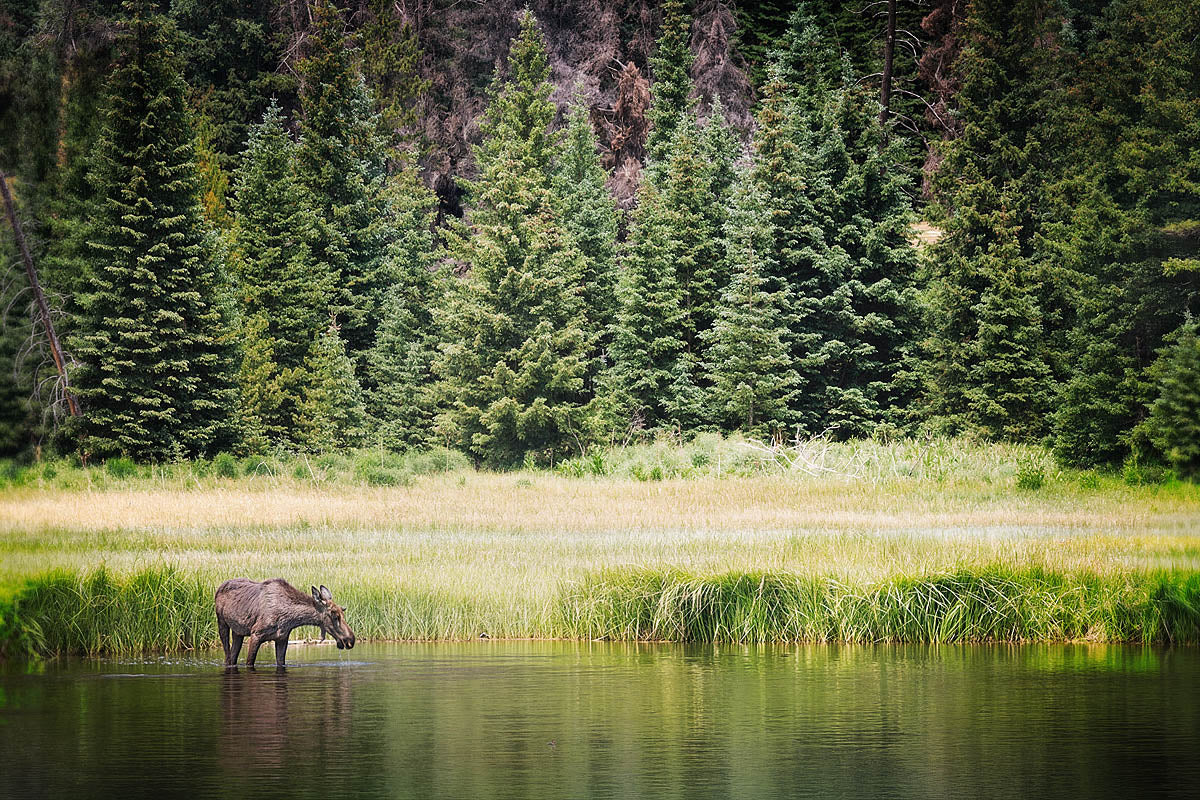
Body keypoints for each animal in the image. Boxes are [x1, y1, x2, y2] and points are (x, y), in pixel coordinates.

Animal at [215, 578, 355, 668]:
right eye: (334, 615)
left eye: (343, 612)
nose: (350, 640)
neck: (290, 618)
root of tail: (219, 587)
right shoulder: (256, 634)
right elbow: (250, 662)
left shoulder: (282, 639)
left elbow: (281, 662)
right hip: (222, 623)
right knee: (227, 656)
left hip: (238, 632)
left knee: (232, 657)